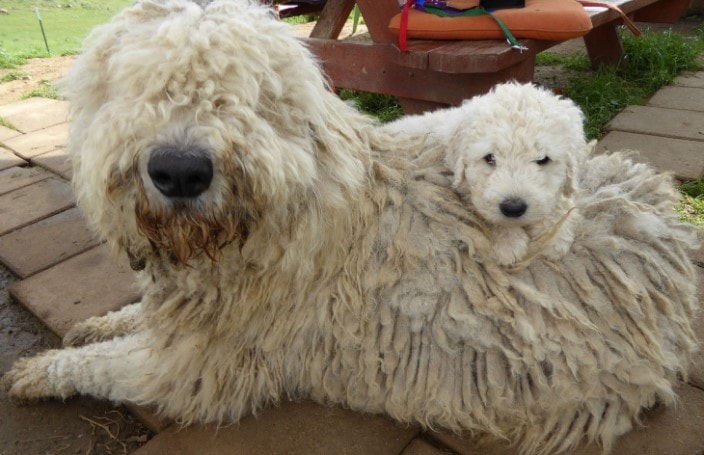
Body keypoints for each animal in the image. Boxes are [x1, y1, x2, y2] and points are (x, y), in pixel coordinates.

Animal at [388, 83, 592, 268]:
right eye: (490, 158)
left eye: (543, 160)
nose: (513, 208)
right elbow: (483, 212)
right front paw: (508, 242)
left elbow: (560, 201)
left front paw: (555, 232)